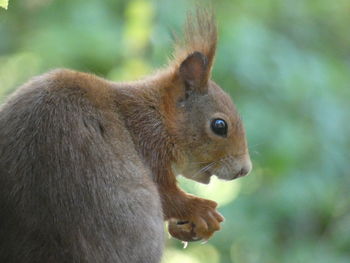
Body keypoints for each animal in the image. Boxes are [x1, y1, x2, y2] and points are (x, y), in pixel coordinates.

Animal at [0, 8, 252, 263]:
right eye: (219, 126)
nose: (244, 169)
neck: (157, 116)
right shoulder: (149, 145)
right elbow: (167, 196)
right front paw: (200, 211)